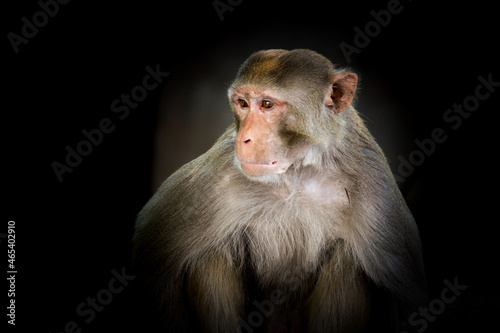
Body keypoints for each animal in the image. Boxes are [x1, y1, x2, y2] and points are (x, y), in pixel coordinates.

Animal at [132, 49, 426, 332]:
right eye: (242, 103)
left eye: (267, 104)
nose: (244, 139)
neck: (296, 173)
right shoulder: (217, 173)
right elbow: (152, 258)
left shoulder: (373, 186)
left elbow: (408, 302)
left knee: (347, 258)